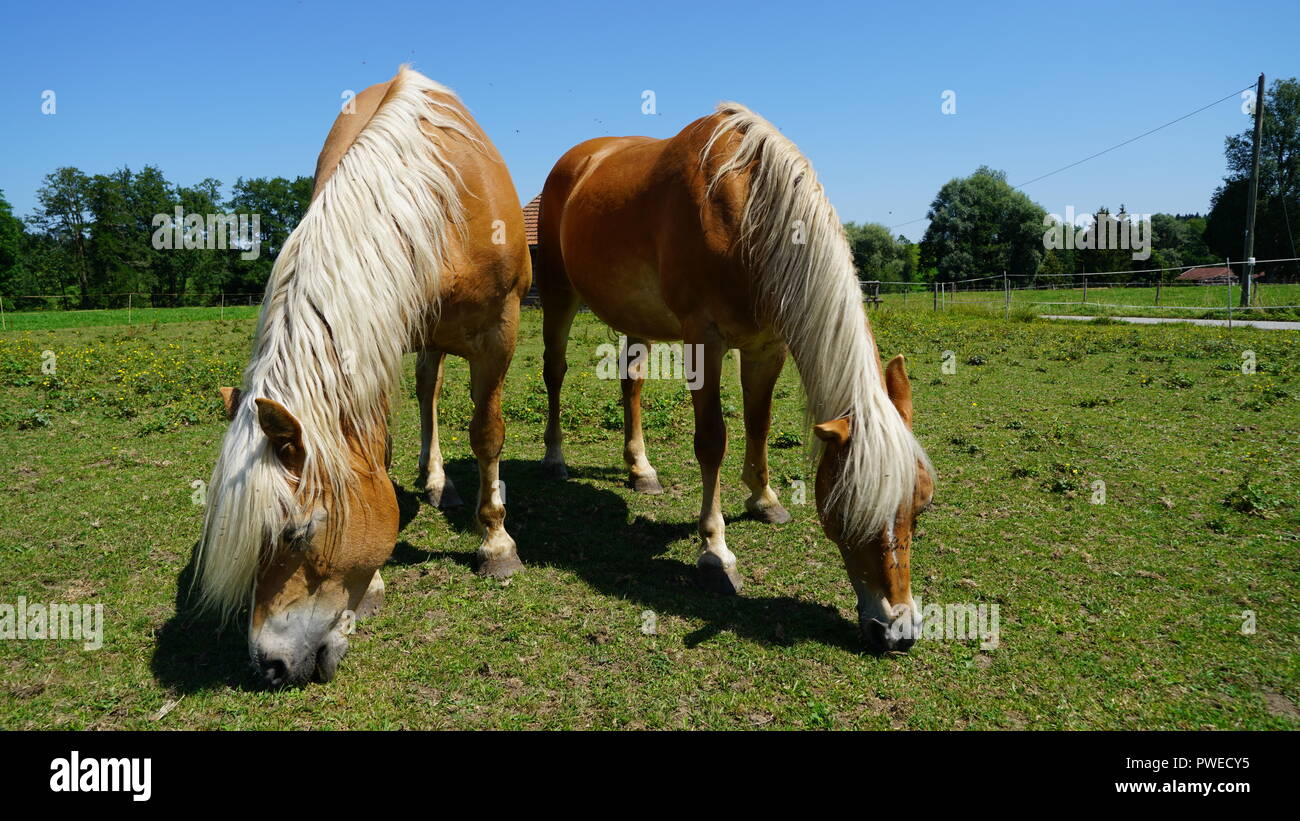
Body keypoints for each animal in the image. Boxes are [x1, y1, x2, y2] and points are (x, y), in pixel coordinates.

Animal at [193, 65, 527, 685]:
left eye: (297, 532)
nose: (269, 666)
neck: (438, 201)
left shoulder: (501, 329)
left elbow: (487, 434)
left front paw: (495, 544)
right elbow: (379, 453)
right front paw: (372, 583)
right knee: (427, 394)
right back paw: (435, 481)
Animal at [535, 103, 935, 654]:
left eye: (920, 506)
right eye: (850, 511)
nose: (898, 630)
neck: (746, 210)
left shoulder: (768, 346)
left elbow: (758, 425)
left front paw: (764, 501)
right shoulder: (703, 339)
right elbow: (712, 441)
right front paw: (715, 553)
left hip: (635, 319)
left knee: (631, 384)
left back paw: (641, 470)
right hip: (558, 293)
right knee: (554, 373)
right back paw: (555, 458)